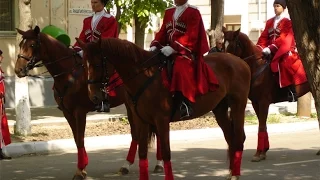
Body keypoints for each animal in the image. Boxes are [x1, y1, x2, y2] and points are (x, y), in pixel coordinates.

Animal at [13, 26, 164, 179]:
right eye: (20, 44)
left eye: (32, 45)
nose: (18, 70)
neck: (68, 74)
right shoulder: (67, 113)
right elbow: (76, 139)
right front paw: (83, 167)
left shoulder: (79, 112)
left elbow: (80, 139)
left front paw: (80, 170)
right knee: (136, 133)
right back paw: (126, 165)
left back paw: (158, 164)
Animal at [76, 37, 251, 180]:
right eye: (83, 65)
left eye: (97, 64)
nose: (94, 97)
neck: (145, 76)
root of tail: (240, 61)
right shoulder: (141, 120)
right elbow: (143, 152)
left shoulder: (161, 120)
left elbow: (166, 152)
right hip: (220, 109)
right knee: (230, 137)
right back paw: (231, 172)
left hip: (238, 105)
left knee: (239, 137)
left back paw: (235, 175)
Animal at [222, 29, 316, 162]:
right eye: (223, 44)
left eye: (232, 45)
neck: (256, 67)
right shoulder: (256, 103)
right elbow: (263, 125)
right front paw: (262, 151)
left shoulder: (264, 102)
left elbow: (261, 126)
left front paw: (259, 153)